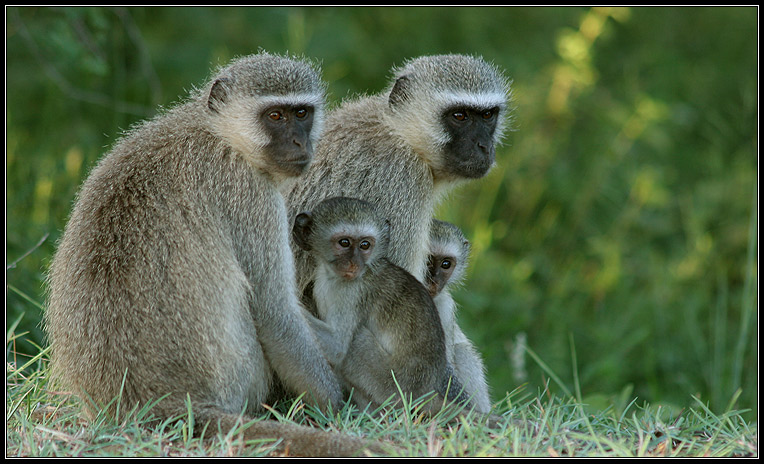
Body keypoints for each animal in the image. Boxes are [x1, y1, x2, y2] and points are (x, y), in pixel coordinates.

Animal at [43, 52, 382, 454]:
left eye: (301, 113)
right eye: (275, 116)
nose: (300, 143)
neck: (222, 134)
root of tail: (156, 403)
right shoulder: (249, 194)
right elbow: (275, 312)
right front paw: (339, 406)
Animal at [290, 197, 474, 416]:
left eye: (365, 245)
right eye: (344, 243)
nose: (354, 264)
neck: (331, 276)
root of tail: (424, 393)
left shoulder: (353, 293)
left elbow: (337, 346)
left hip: (390, 382)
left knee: (358, 339)